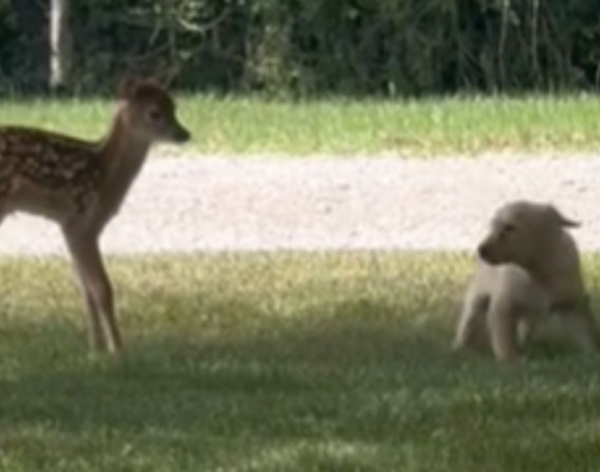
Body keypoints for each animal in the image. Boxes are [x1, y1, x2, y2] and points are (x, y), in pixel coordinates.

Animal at [452, 200, 596, 362]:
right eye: (492, 227)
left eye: (510, 227)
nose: (481, 250)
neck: (537, 271)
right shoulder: (503, 306)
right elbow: (503, 337)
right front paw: (510, 359)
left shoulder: (574, 302)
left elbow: (585, 329)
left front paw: (592, 354)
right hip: (479, 293)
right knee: (470, 319)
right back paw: (459, 347)